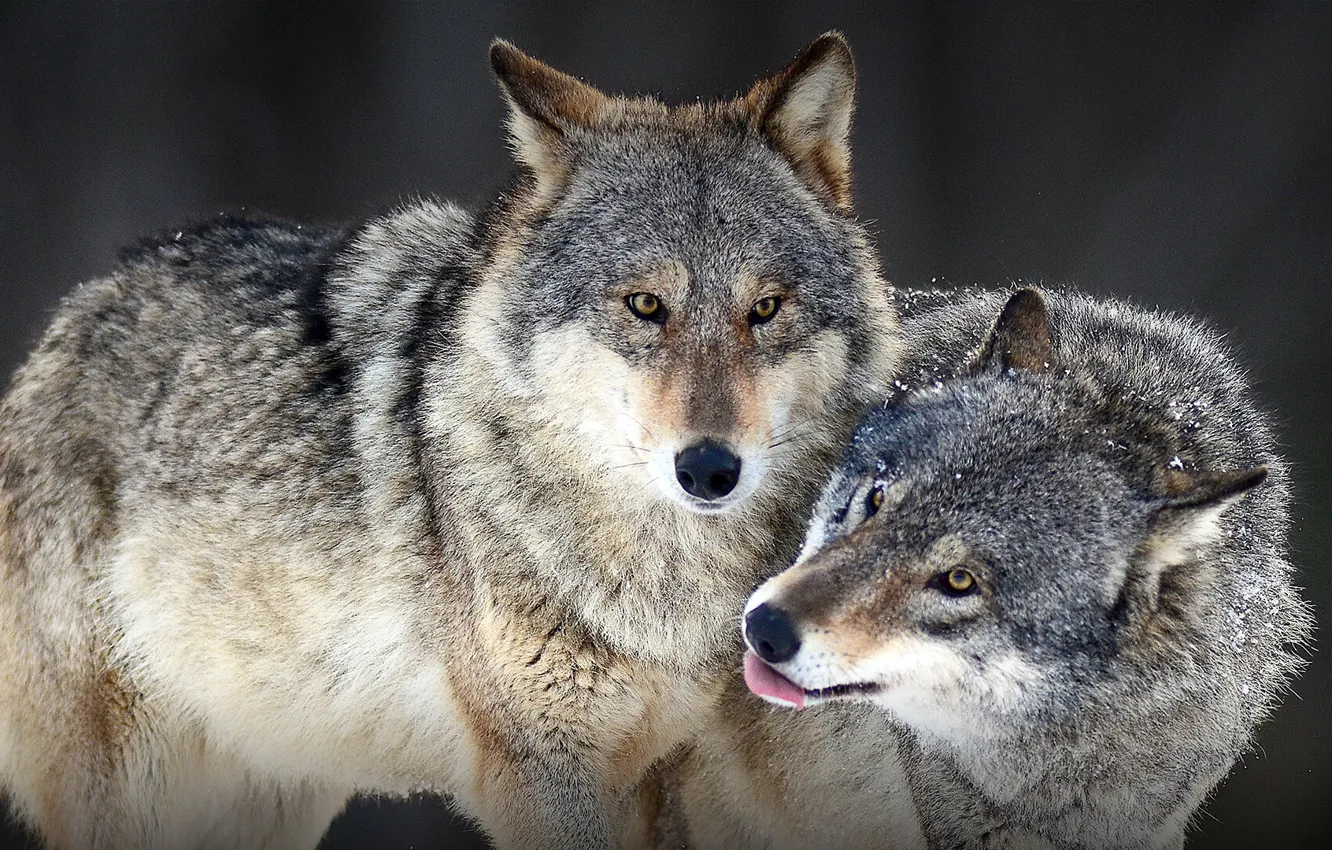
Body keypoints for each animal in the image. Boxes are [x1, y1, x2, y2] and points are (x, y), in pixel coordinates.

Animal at [0, 34, 903, 850]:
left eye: (765, 309)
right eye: (645, 306)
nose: (711, 470)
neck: (659, 579)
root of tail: (61, 328)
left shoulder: (662, 776)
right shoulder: (541, 768)